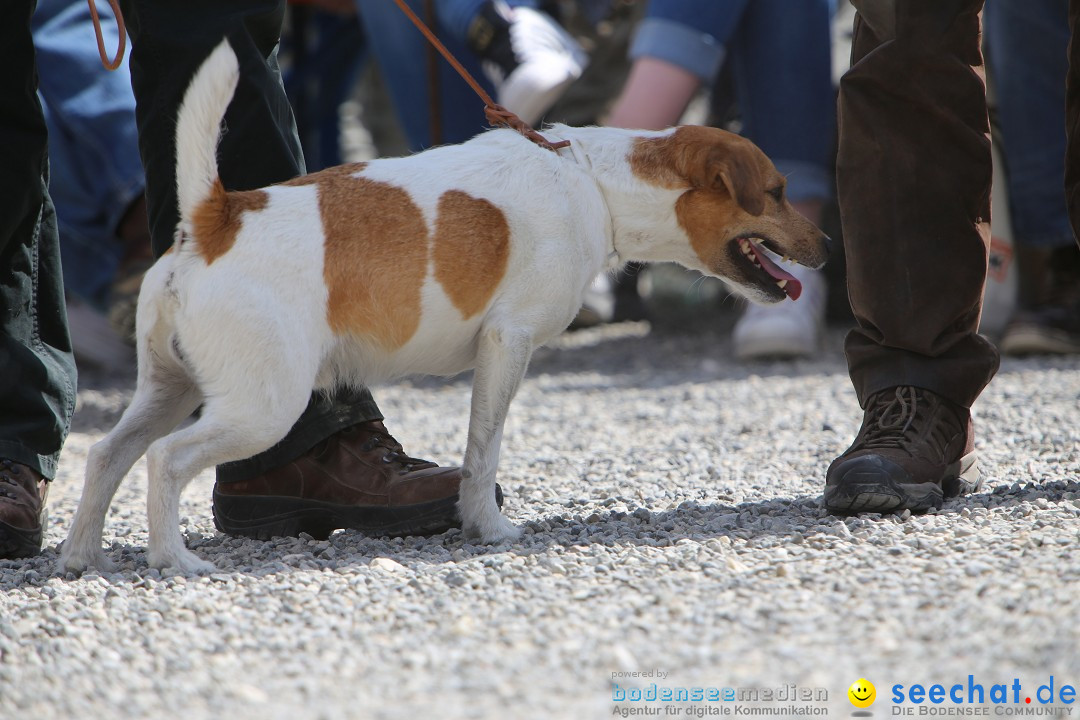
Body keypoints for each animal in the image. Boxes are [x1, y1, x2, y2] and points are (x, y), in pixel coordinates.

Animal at [61, 40, 825, 574]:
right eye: (779, 192)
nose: (826, 244)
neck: (591, 179)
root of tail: (216, 218)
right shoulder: (507, 345)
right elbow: (483, 452)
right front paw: (487, 528)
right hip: (261, 406)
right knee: (165, 461)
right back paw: (174, 559)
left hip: (169, 388)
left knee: (107, 455)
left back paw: (82, 557)